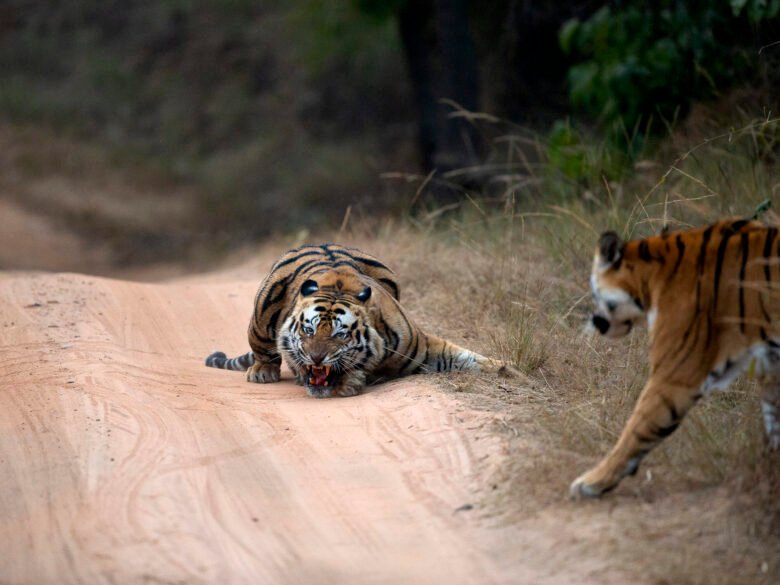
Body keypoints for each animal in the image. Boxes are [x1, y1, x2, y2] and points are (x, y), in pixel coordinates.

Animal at [204, 242, 516, 396]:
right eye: (308, 331)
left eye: (339, 334)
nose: (316, 358)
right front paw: (350, 381)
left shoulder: (425, 348)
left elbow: (468, 357)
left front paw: (511, 372)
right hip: (261, 314)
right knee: (263, 351)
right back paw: (262, 372)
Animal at [568, 219, 780, 498]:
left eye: (594, 292)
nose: (595, 321)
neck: (651, 279)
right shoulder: (772, 367)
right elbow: (774, 422)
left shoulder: (675, 373)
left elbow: (636, 429)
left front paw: (591, 482)